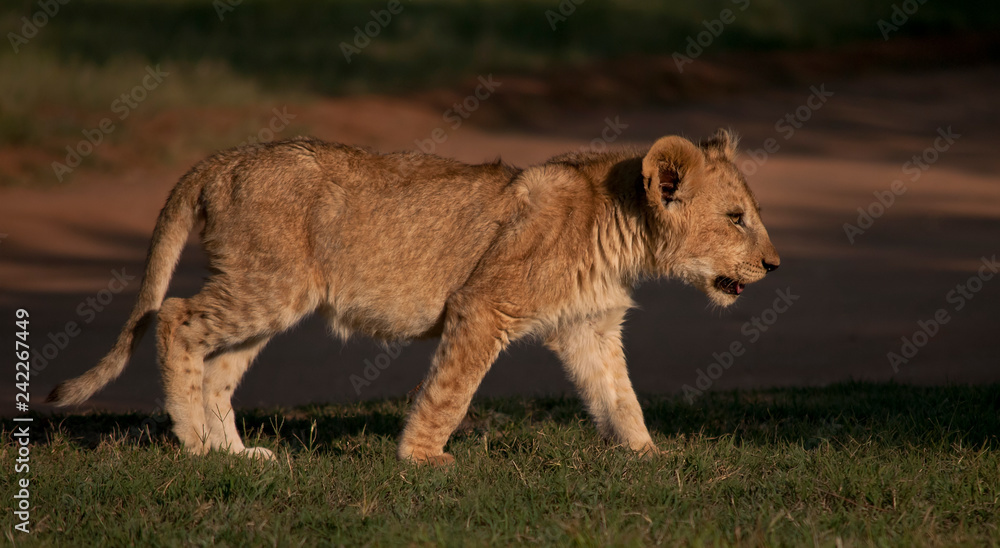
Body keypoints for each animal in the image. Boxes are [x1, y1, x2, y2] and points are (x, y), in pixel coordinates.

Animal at [48, 128, 779, 464]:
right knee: (174, 318)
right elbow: (451, 389)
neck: (621, 225)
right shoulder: (483, 305)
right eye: (736, 217)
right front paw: (423, 459)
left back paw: (239, 455)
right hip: (267, 285)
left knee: (218, 364)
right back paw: (195, 443)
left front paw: (647, 456)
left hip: (269, 295)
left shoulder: (588, 327)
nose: (774, 264)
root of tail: (224, 158)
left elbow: (620, 398)